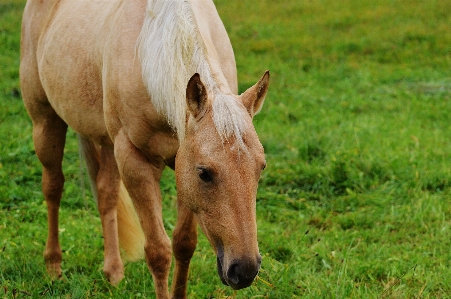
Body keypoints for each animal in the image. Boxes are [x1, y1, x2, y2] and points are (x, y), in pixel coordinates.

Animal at [20, 1, 268, 298]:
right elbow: (158, 252)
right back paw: (54, 266)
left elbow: (184, 244)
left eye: (260, 168)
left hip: (106, 142)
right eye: (204, 173)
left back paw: (114, 271)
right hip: (46, 122)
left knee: (106, 194)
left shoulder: (181, 163)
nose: (245, 270)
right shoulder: (135, 161)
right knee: (53, 187)